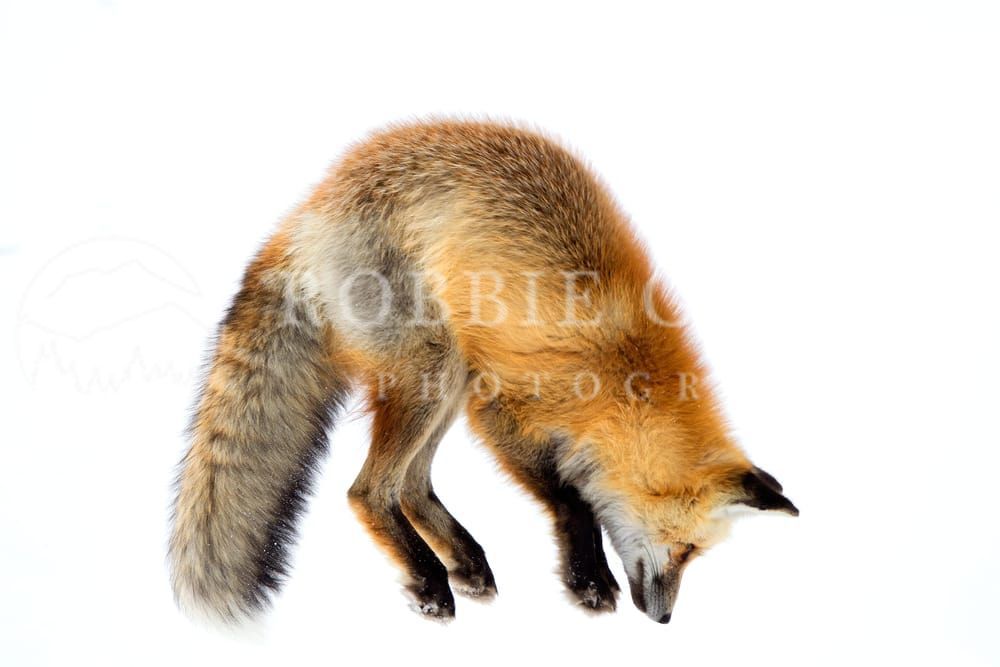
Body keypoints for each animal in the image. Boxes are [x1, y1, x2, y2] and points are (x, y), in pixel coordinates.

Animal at [169, 119, 798, 626]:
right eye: (687, 550)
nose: (665, 620)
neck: (625, 373)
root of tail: (310, 207)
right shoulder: (504, 406)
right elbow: (571, 499)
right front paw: (589, 582)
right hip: (435, 369)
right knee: (370, 490)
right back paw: (430, 582)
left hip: (451, 378)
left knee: (411, 485)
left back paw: (466, 562)